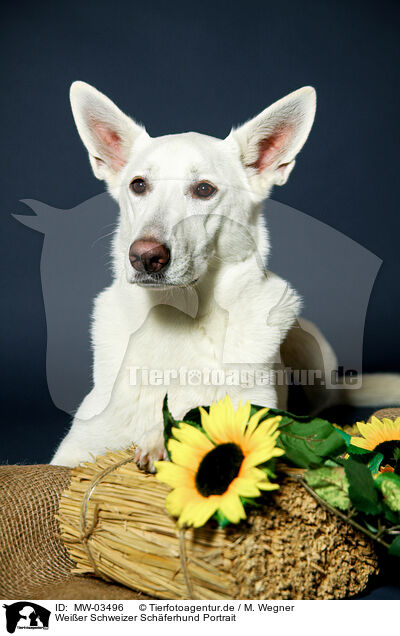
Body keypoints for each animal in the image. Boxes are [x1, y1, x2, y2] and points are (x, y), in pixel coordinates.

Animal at [51, 82, 398, 470]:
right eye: (139, 185)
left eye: (204, 189)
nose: (144, 257)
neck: (179, 317)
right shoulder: (72, 453)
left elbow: (198, 414)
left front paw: (160, 438)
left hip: (312, 353)